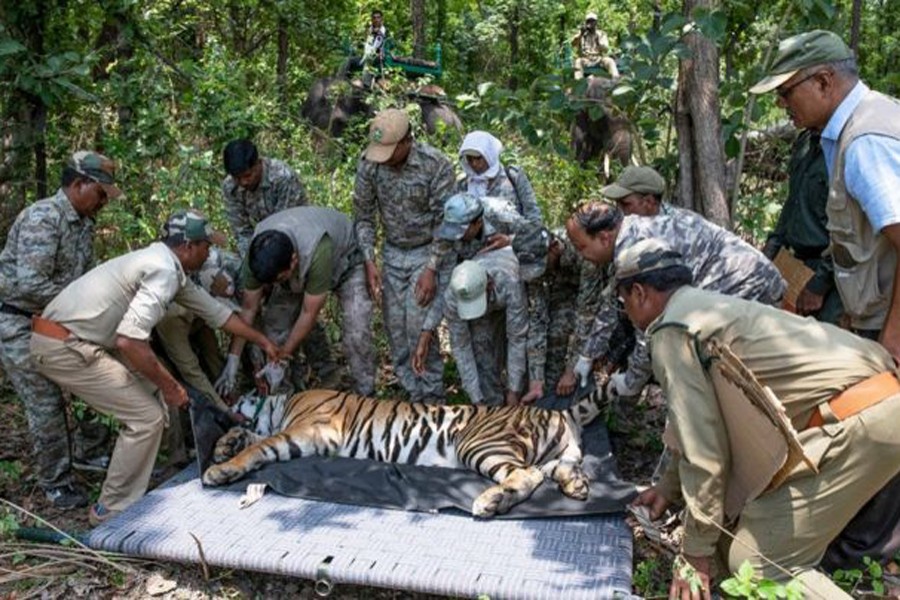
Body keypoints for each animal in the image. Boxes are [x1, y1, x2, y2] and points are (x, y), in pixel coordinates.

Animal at [203, 386, 608, 516]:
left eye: (237, 395)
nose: (222, 403)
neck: (282, 402)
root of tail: (557, 411)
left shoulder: (304, 432)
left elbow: (259, 445)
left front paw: (219, 468)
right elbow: (249, 434)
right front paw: (223, 444)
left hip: (479, 443)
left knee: (526, 475)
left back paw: (489, 501)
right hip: (557, 455)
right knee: (552, 471)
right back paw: (576, 487)